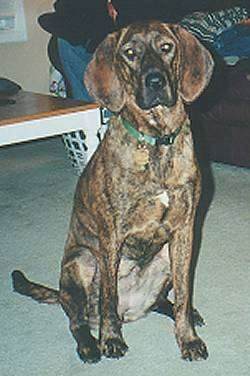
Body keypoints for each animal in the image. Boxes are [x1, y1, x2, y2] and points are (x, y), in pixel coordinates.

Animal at [11, 22, 214, 362]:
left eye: (167, 47)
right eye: (129, 53)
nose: (155, 81)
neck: (155, 141)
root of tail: (131, 311)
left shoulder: (184, 231)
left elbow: (185, 294)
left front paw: (188, 338)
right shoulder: (111, 236)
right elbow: (108, 295)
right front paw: (111, 340)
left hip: (166, 257)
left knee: (161, 301)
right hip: (81, 261)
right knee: (79, 319)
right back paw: (90, 345)